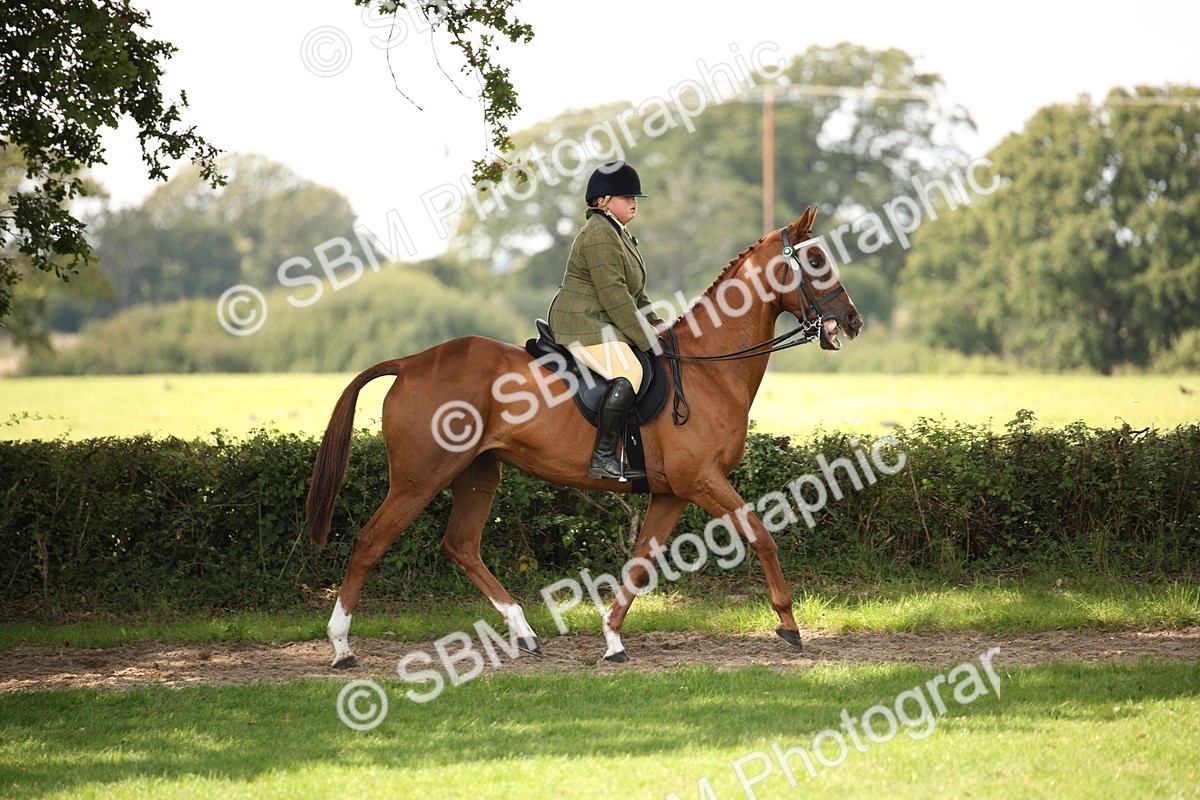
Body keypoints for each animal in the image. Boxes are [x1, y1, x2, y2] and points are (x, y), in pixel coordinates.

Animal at [307, 206, 862, 668]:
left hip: (478, 473)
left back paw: (524, 632)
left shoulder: (671, 492)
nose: (852, 322)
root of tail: (411, 362)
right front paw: (788, 625)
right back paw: (341, 648)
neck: (708, 369)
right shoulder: (701, 480)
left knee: (461, 545)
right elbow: (761, 533)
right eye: (815, 259)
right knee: (370, 542)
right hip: (420, 477)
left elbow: (640, 563)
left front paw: (612, 639)